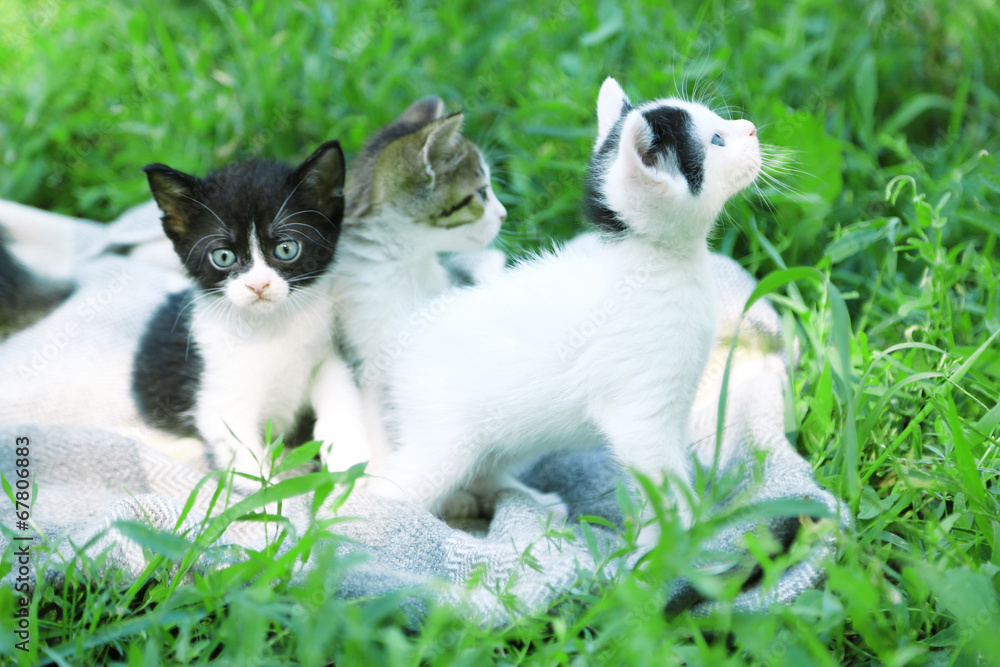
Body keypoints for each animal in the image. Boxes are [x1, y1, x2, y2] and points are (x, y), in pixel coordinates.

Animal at [133, 142, 346, 474]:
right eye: (223, 256)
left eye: (286, 249)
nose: (258, 285)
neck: (271, 328)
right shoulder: (218, 397)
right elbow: (249, 465)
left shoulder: (323, 347)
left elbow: (340, 385)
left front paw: (351, 460)